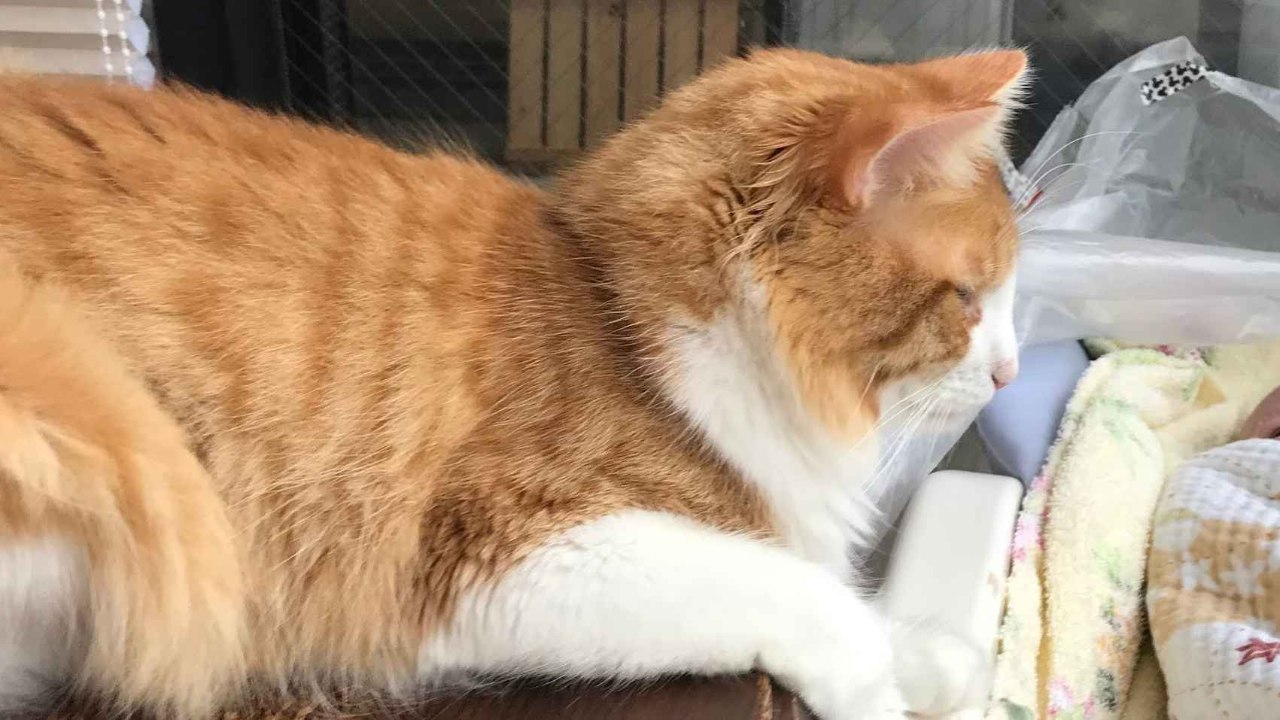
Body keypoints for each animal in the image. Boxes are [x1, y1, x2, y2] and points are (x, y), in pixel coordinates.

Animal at [0, 46, 1024, 719]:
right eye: (970, 299)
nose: (1011, 371)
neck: (615, 314)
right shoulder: (500, 553)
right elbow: (808, 595)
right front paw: (882, 689)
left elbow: (853, 599)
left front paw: (935, 662)